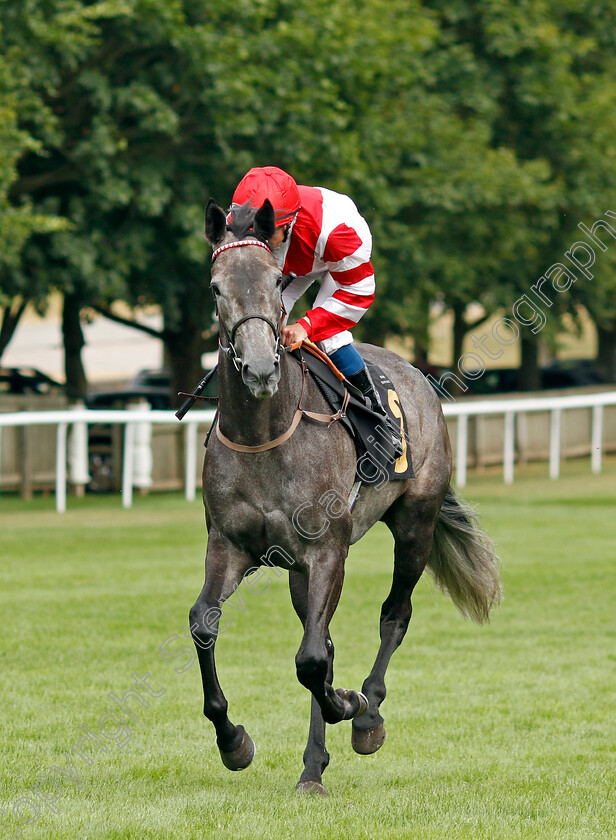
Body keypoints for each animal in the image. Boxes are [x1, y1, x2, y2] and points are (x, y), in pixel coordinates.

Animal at [189, 197, 500, 796]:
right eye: (215, 287)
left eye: (274, 279)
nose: (260, 368)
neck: (265, 434)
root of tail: (416, 375)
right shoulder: (230, 547)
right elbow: (205, 623)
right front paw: (233, 741)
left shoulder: (328, 550)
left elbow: (312, 660)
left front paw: (350, 706)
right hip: (296, 570)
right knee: (325, 639)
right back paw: (313, 765)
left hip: (415, 524)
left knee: (393, 615)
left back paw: (367, 717)